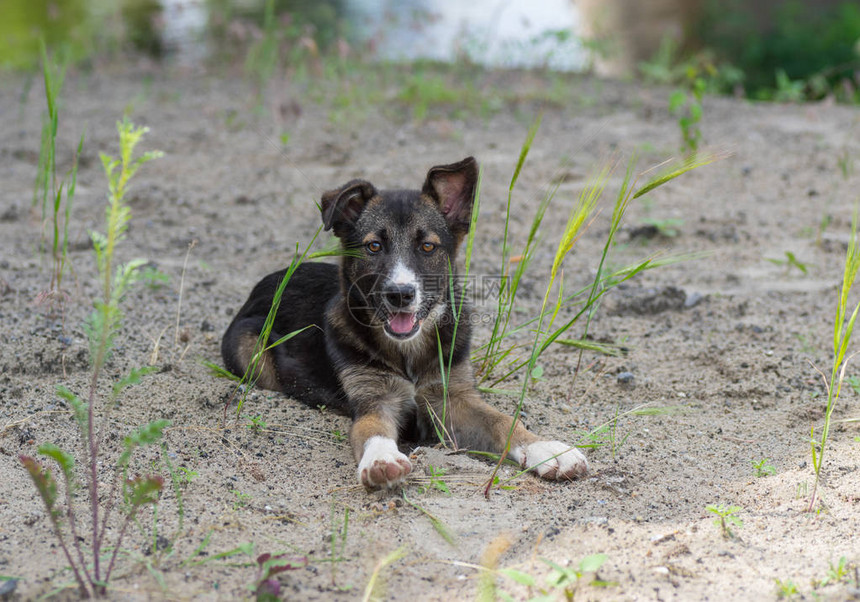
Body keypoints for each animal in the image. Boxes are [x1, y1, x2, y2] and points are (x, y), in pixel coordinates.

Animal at [220, 156, 592, 488]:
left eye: (427, 246)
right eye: (373, 246)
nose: (400, 294)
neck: (408, 351)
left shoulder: (452, 397)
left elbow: (503, 421)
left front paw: (548, 449)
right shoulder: (373, 400)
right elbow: (372, 430)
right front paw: (381, 459)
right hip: (249, 353)